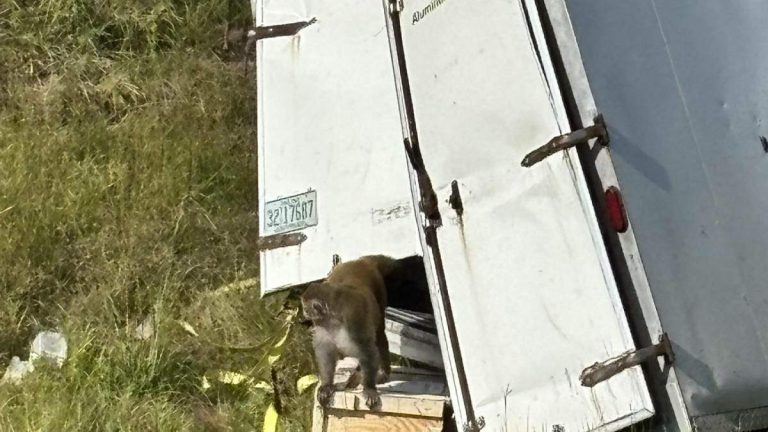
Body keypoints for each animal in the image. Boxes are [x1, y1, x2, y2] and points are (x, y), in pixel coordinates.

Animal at [301, 255, 397, 410]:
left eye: (305, 307)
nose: (304, 312)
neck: (333, 315)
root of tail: (361, 261)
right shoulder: (322, 323)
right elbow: (325, 350)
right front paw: (327, 385)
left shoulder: (353, 317)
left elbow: (367, 349)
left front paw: (369, 388)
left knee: (379, 334)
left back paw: (381, 373)